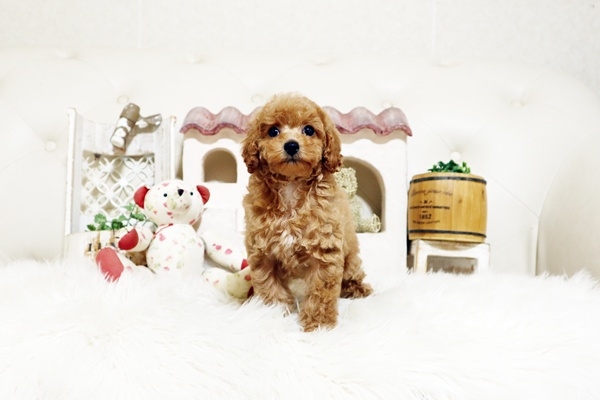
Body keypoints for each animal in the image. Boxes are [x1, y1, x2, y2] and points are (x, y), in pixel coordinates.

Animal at [241, 93, 373, 331]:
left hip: (351, 259)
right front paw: (274, 315)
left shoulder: (326, 249)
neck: (291, 187)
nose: (292, 145)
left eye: (309, 130)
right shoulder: (263, 253)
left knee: (352, 275)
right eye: (273, 131)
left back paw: (357, 289)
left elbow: (321, 291)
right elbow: (270, 286)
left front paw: (319, 324)